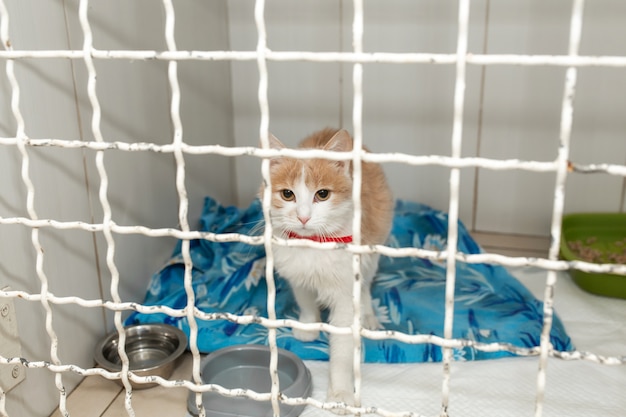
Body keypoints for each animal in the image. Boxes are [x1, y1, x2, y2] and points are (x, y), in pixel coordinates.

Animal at [260, 127, 392, 406]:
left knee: (366, 284)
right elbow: (306, 301)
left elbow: (341, 349)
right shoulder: (296, 274)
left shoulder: (345, 294)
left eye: (322, 194)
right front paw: (309, 327)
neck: (313, 245)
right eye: (287, 194)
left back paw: (368, 316)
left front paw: (340, 393)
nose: (303, 217)